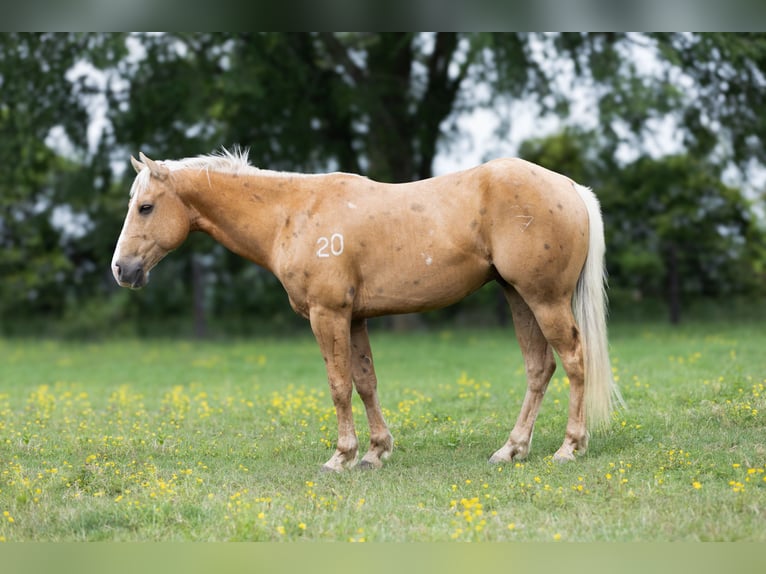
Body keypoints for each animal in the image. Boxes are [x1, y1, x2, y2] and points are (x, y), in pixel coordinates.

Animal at [111, 148, 624, 472]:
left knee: (574, 362)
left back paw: (569, 448)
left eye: (146, 207)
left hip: (544, 299)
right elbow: (365, 383)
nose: (121, 269)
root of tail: (570, 188)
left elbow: (339, 387)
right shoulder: (353, 319)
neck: (291, 214)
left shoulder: (328, 315)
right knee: (540, 368)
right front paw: (376, 453)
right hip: (519, 298)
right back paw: (511, 449)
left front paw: (342, 456)